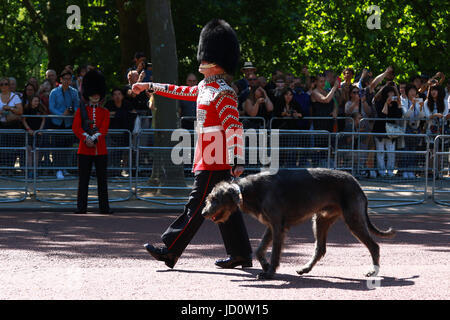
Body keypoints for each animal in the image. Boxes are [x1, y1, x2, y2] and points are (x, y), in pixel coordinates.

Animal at [202, 169, 396, 278]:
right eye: (209, 198)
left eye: (215, 199)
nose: (203, 213)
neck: (249, 190)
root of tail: (357, 184)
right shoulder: (271, 225)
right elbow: (259, 249)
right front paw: (265, 265)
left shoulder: (278, 226)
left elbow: (275, 252)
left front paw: (270, 272)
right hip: (321, 219)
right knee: (320, 248)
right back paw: (305, 269)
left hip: (353, 218)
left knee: (374, 246)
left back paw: (373, 271)